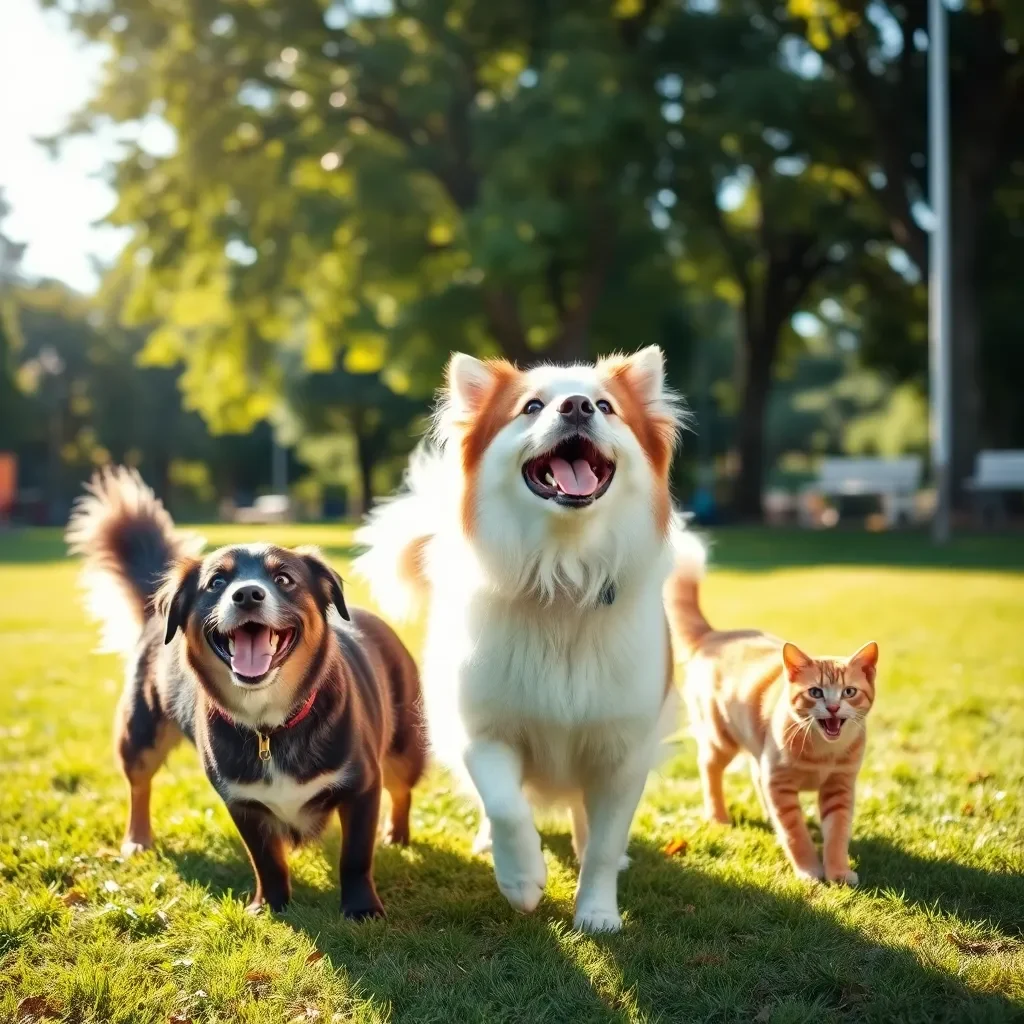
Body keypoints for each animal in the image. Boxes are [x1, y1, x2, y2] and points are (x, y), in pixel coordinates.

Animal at [67, 468, 428, 917]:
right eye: (217, 582)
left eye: (284, 579)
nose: (247, 594)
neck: (268, 722)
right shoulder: (242, 803)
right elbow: (267, 859)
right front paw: (270, 905)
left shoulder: (362, 787)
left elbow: (355, 857)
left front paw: (361, 907)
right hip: (140, 732)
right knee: (139, 785)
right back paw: (137, 838)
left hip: (404, 747)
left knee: (402, 789)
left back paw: (397, 833)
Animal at [356, 346, 692, 937]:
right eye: (532, 406)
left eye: (607, 405)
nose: (577, 405)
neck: (563, 577)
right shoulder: (483, 731)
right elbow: (507, 806)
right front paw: (522, 878)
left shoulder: (622, 752)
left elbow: (603, 845)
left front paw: (597, 912)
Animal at [667, 540, 876, 884]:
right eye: (815, 692)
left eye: (849, 692)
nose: (833, 706)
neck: (823, 752)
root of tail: (714, 635)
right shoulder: (780, 784)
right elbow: (796, 834)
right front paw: (808, 870)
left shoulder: (840, 787)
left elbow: (837, 834)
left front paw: (838, 871)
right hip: (720, 738)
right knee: (709, 769)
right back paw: (718, 816)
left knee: (754, 775)